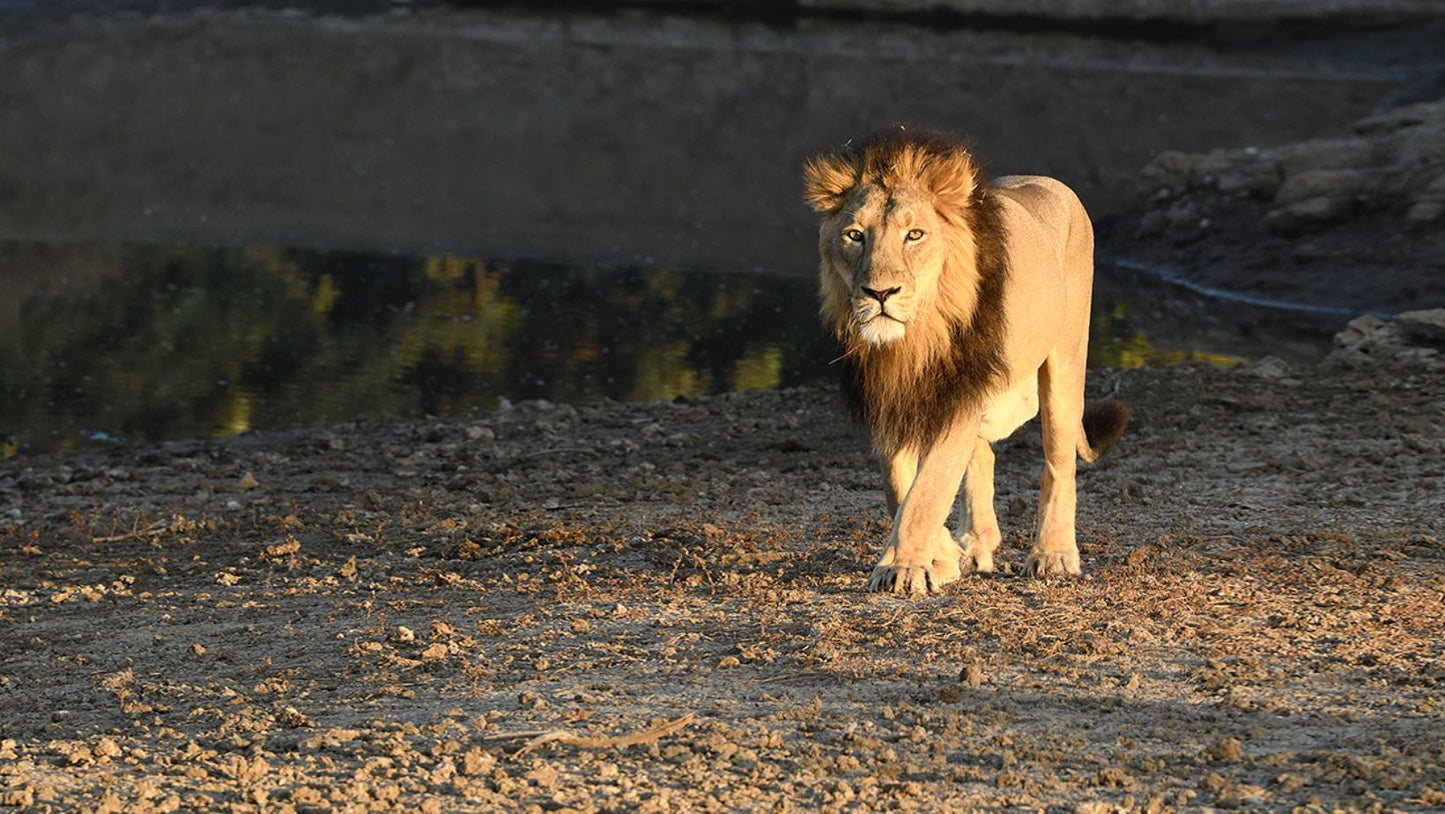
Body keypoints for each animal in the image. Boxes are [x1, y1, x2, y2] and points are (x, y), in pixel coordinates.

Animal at [803, 128, 1127, 598]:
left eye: (914, 234)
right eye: (855, 235)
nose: (879, 293)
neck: (915, 337)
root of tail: (1050, 183)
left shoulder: (960, 393)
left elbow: (927, 491)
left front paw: (904, 567)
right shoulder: (891, 398)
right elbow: (900, 488)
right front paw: (939, 558)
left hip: (1064, 363)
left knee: (1058, 461)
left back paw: (1053, 555)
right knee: (984, 456)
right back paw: (974, 544)